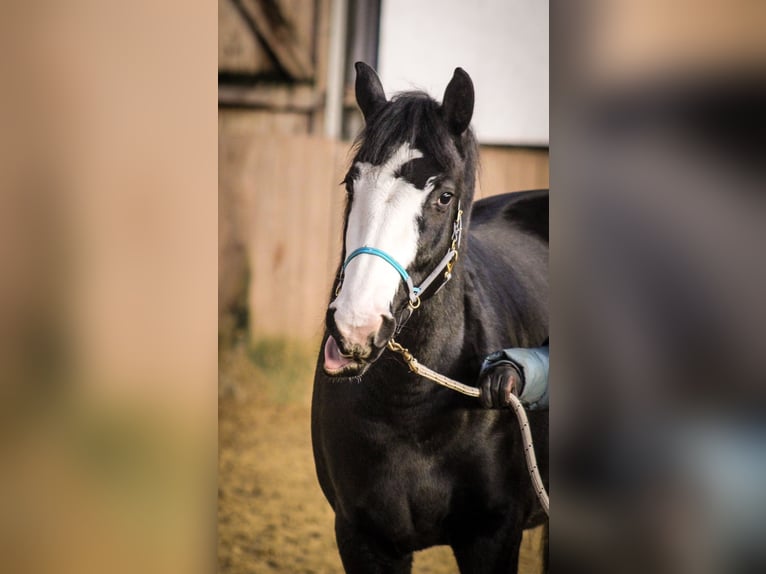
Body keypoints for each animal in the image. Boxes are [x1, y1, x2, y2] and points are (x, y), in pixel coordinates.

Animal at [311, 62, 548, 573]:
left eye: (443, 196)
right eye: (350, 184)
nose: (355, 328)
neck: (411, 409)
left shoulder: (493, 539)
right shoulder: (362, 538)